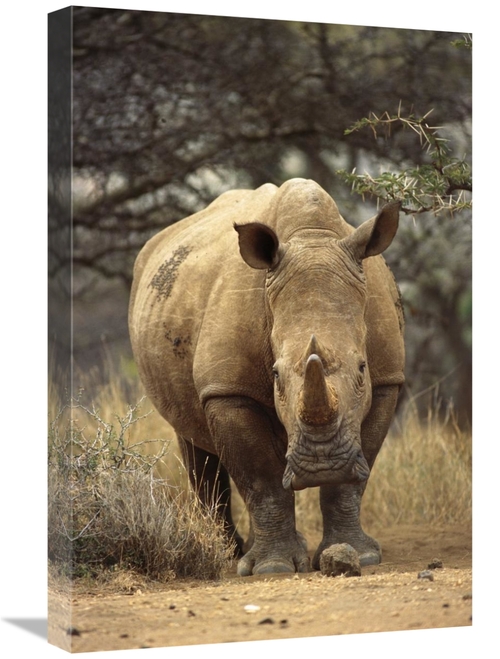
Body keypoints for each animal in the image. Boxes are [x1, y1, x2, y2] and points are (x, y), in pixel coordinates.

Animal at [129, 178, 405, 576]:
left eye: (362, 369)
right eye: (275, 374)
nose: (322, 465)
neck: (311, 238)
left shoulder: (386, 380)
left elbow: (352, 481)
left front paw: (358, 555)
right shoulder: (228, 390)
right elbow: (260, 478)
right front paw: (272, 567)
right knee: (194, 444)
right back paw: (230, 553)